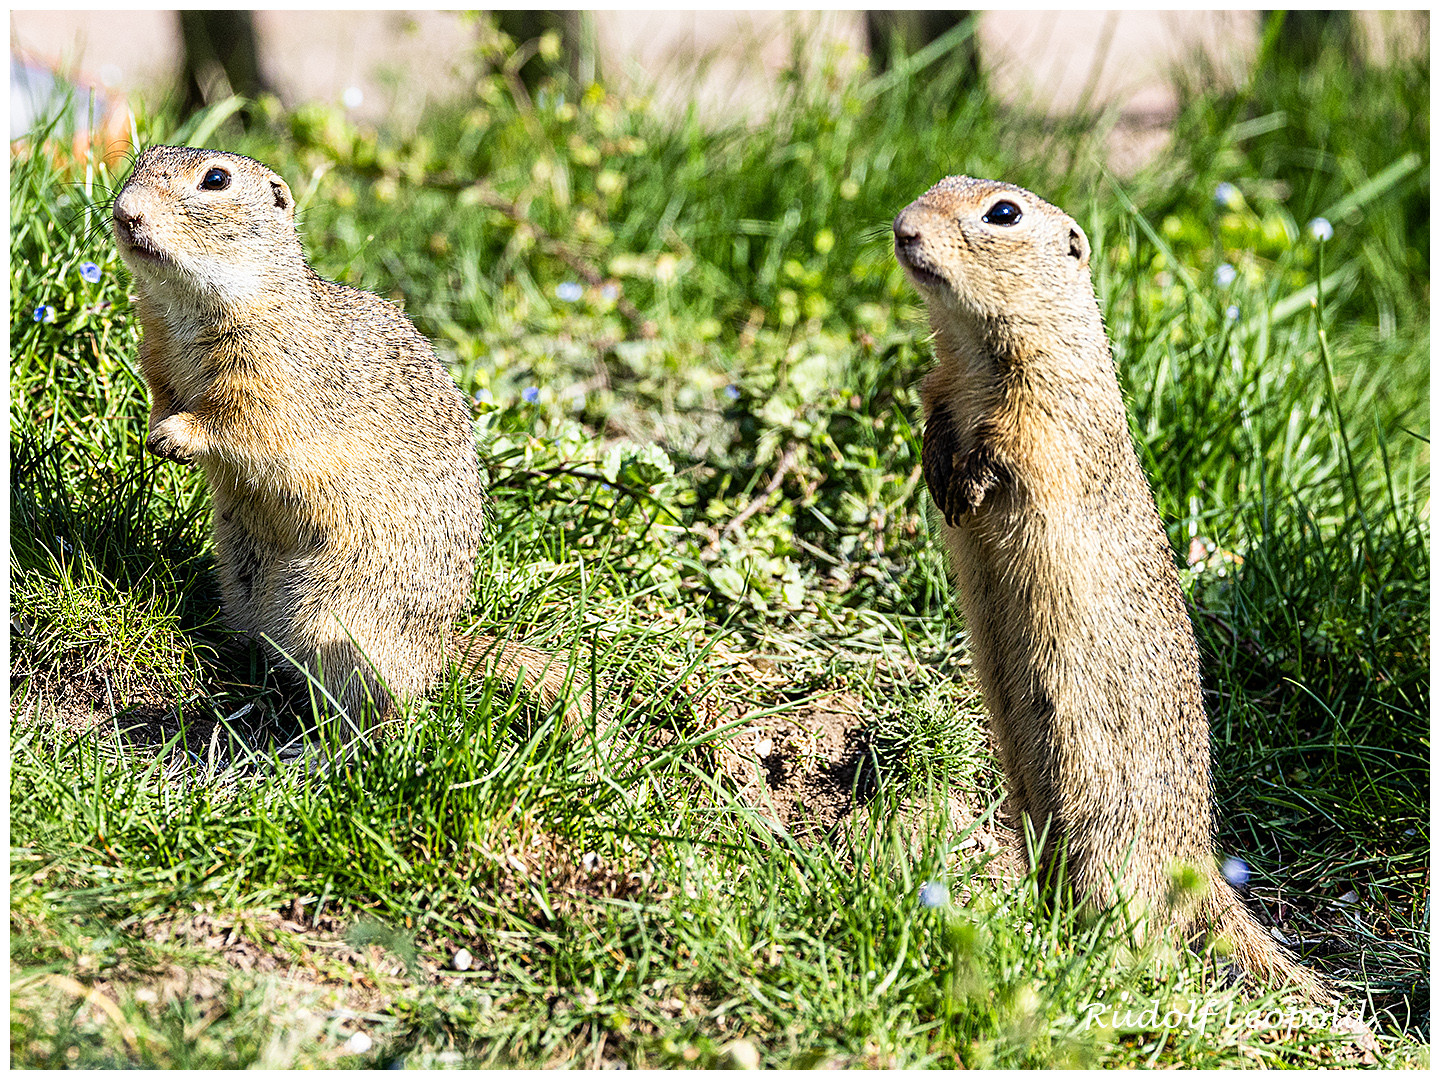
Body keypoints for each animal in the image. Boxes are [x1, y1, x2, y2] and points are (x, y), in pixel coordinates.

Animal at [113, 144, 584, 731]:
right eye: (141, 160)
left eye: (215, 180)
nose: (124, 212)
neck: (185, 308)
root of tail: (439, 650)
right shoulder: (158, 357)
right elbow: (162, 395)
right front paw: (154, 433)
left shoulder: (272, 381)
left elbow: (236, 422)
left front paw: (176, 435)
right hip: (243, 577)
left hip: (336, 618)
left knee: (389, 705)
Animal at [892, 173, 1330, 1002]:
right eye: (937, 185)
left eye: (1002, 213)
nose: (903, 227)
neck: (975, 351)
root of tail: (1202, 864)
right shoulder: (939, 386)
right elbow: (931, 416)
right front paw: (941, 476)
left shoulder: (1048, 416)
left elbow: (1014, 447)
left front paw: (968, 485)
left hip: (1108, 838)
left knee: (1143, 938)